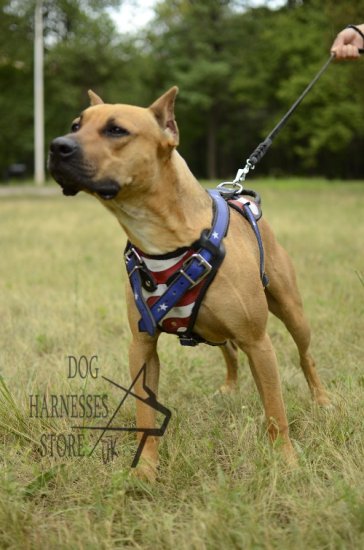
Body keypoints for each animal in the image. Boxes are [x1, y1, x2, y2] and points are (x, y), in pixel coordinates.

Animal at [48, 87, 330, 484]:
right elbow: (145, 414)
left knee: (306, 357)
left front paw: (287, 463)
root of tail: (241, 197)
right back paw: (229, 388)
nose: (57, 146)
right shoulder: (142, 345)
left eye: (116, 130)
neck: (163, 238)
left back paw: (322, 400)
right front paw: (146, 469)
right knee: (229, 352)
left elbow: (275, 411)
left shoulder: (259, 342)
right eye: (76, 125)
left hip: (292, 313)